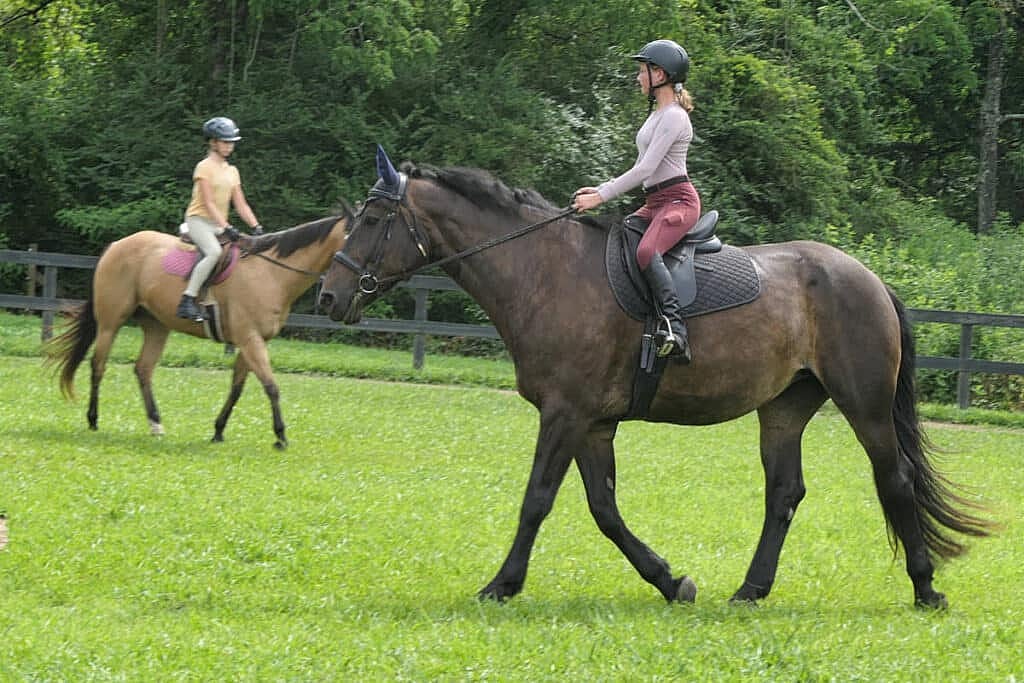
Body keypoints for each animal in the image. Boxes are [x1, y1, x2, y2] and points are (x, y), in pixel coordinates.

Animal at [46, 212, 350, 449]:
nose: (332, 300)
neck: (271, 273)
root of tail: (117, 245)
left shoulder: (252, 341)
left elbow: (238, 387)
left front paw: (219, 431)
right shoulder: (249, 339)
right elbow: (271, 386)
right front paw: (281, 436)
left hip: (157, 325)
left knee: (143, 369)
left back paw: (155, 423)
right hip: (111, 322)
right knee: (98, 365)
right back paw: (93, 419)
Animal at [317, 150, 993, 609]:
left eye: (372, 219)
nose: (328, 296)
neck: (547, 272)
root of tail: (869, 278)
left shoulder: (565, 414)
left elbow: (537, 501)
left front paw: (501, 585)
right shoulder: (590, 423)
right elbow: (604, 509)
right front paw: (672, 581)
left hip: (865, 405)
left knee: (895, 479)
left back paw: (926, 590)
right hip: (783, 409)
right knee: (784, 494)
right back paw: (750, 590)